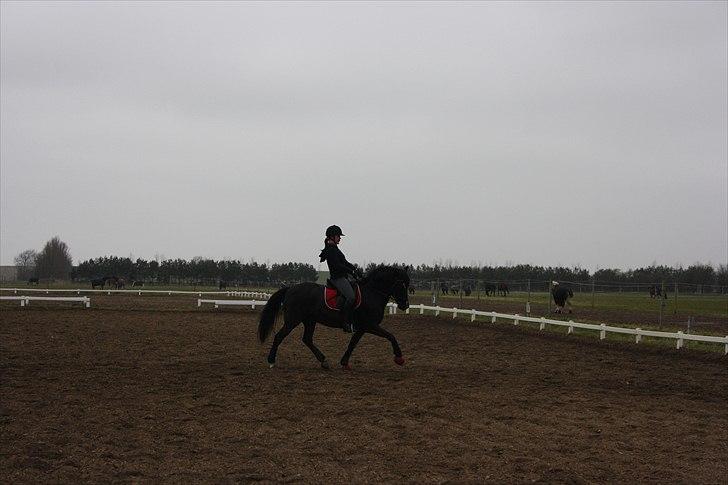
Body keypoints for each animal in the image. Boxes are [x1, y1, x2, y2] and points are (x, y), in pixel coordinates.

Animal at [258, 262, 410, 368]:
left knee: (307, 339)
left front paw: (344, 362)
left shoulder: (362, 328)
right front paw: (399, 358)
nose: (405, 305)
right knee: (279, 336)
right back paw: (271, 361)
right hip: (293, 320)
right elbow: (391, 336)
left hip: (310, 320)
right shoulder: (370, 325)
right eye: (402, 285)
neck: (372, 293)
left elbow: (353, 343)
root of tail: (290, 288)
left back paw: (323, 361)